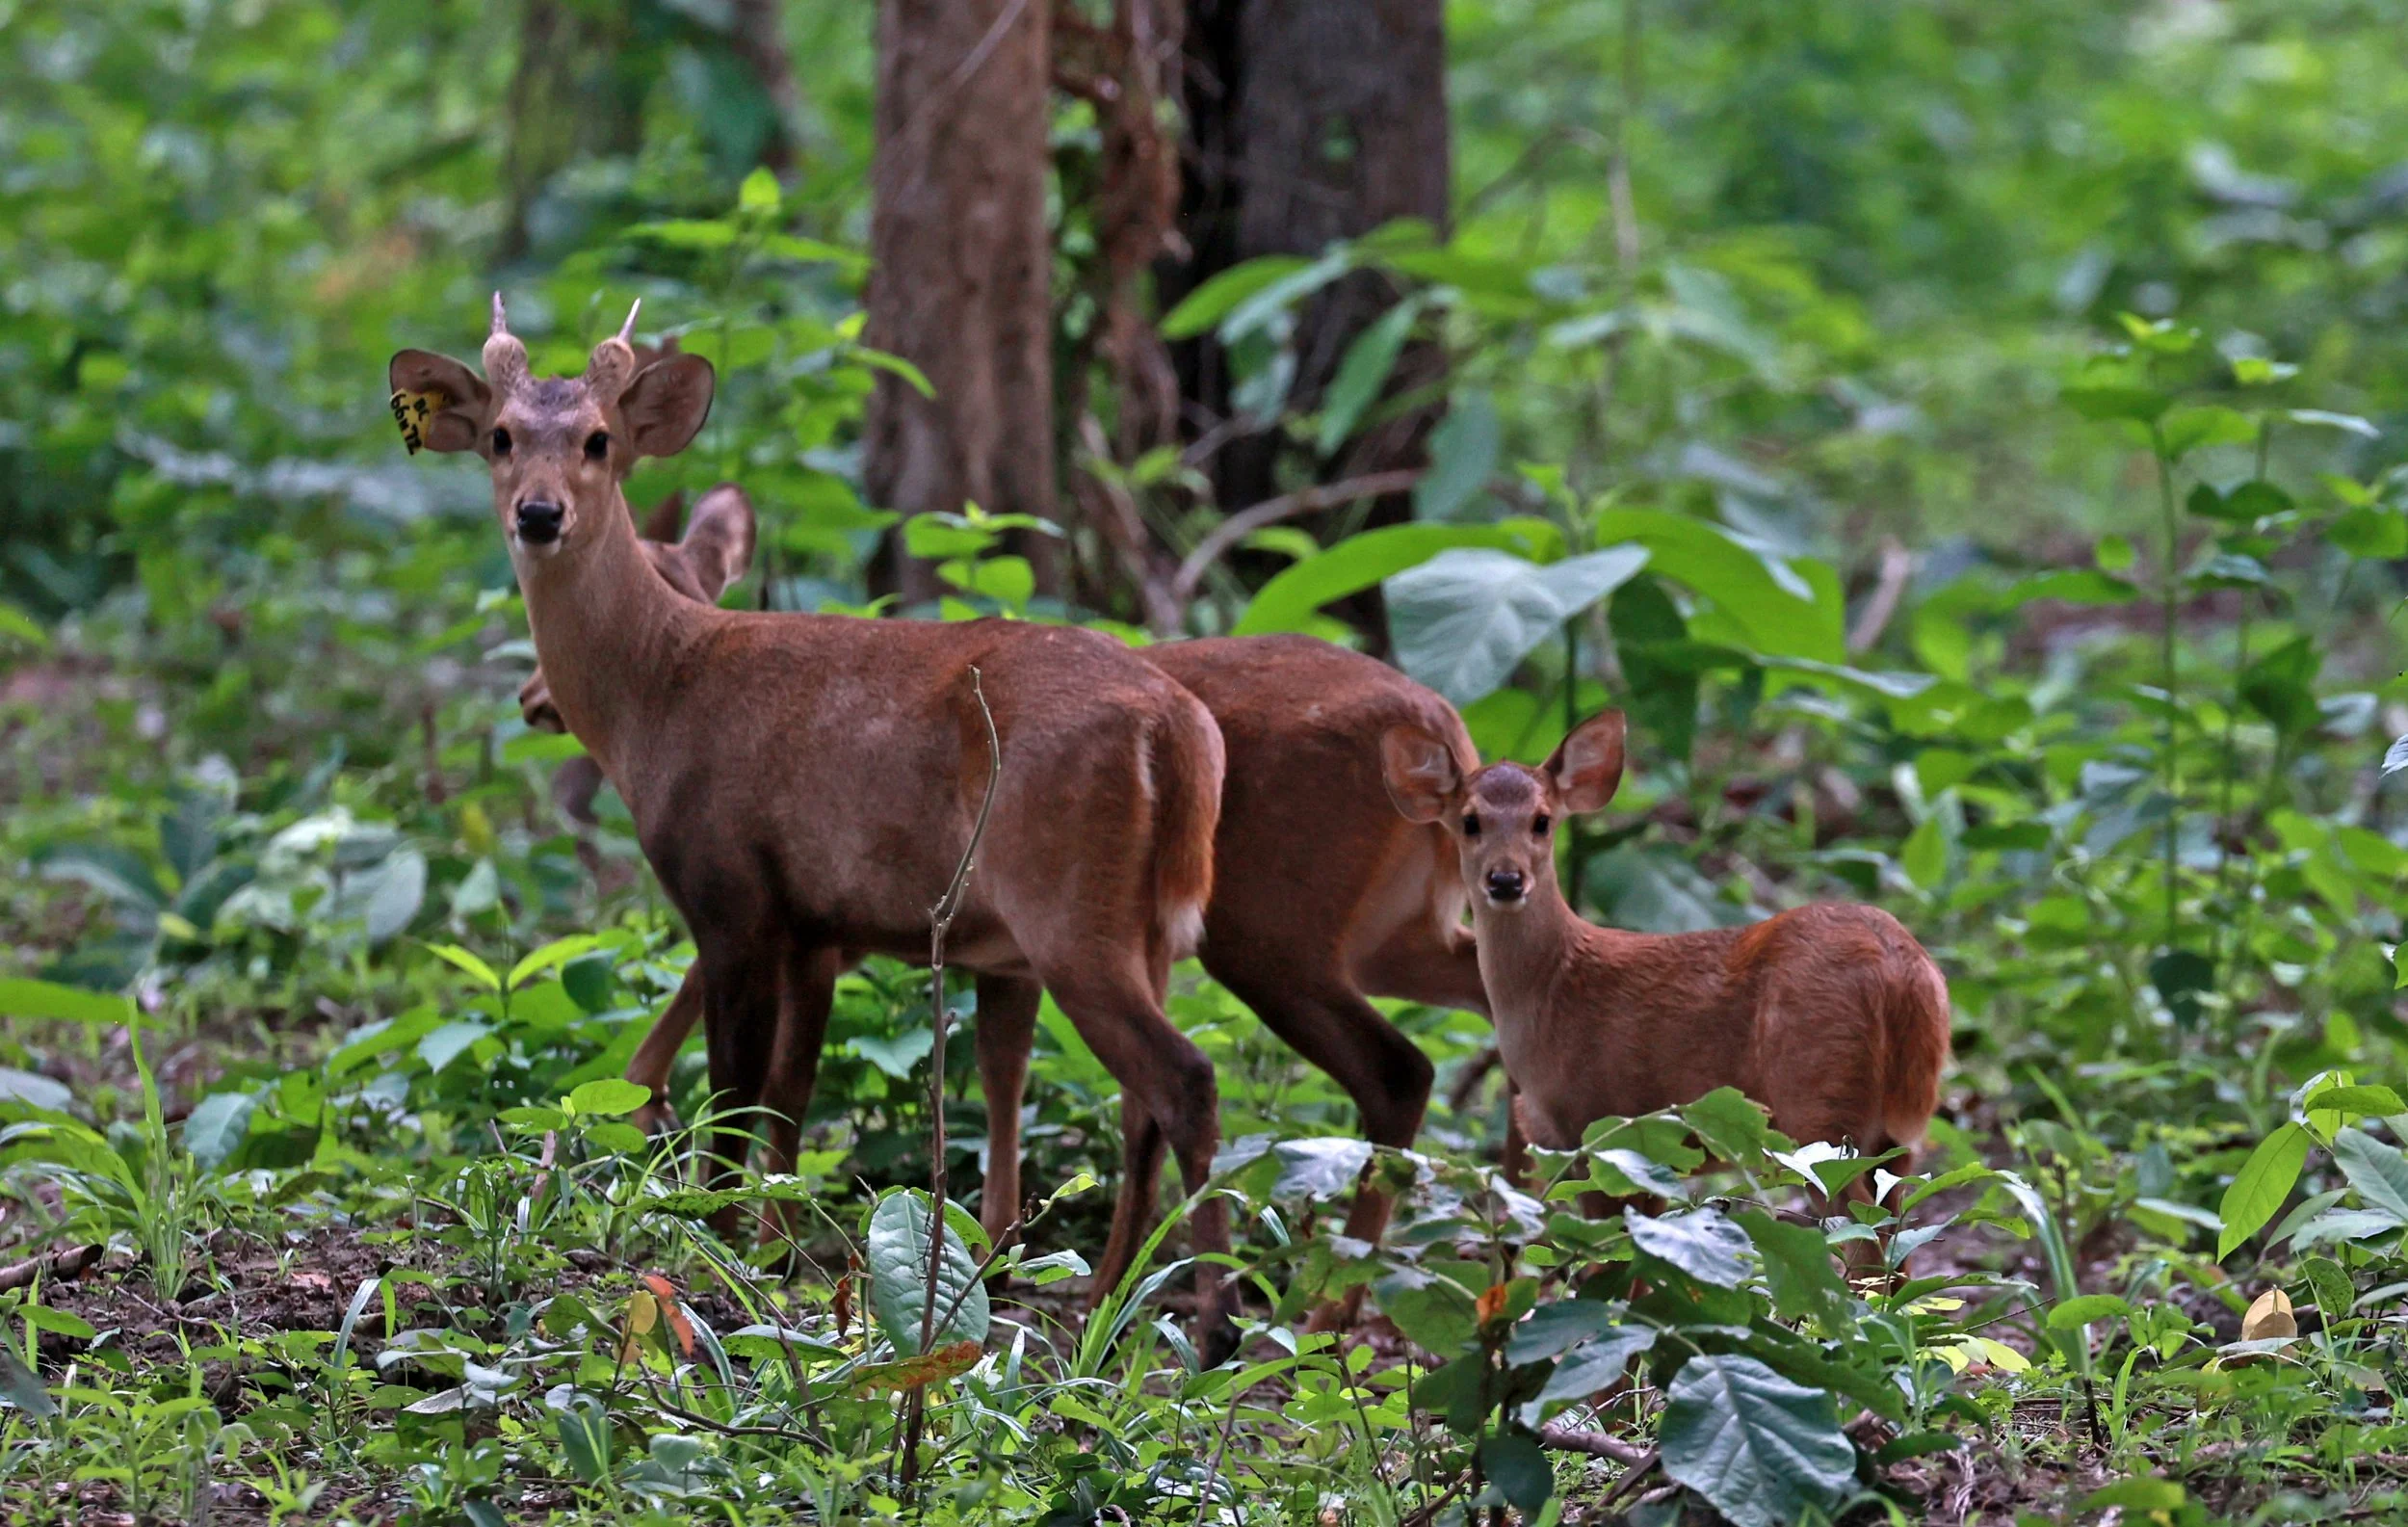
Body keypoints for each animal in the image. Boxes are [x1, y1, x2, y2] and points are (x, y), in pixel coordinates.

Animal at [392, 296, 1239, 1354]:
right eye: (502, 437)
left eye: (597, 440)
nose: (538, 514)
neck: (659, 689)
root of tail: (1180, 731)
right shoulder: (813, 924)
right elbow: (788, 1102)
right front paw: (773, 1258)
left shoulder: (731, 893)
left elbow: (731, 1096)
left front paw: (706, 1248)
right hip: (1143, 924)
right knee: (1140, 1101)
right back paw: (1119, 1297)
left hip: (1069, 907)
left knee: (1184, 1078)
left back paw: (1199, 1319)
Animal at [518, 492, 1493, 1322]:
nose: (533, 697)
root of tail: (1444, 728)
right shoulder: (907, 941)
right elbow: (962, 1078)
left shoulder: (785, 915)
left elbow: (749, 1069)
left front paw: (706, 1208)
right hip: (1372, 926)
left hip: (1253, 927)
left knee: (1345, 1069)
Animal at [1378, 709, 1952, 1213]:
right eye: (1470, 822)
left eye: (1542, 822)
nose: (1505, 880)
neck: (1552, 990)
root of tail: (1899, 969)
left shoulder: (1602, 1127)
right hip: (1900, 1121)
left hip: (1818, 1100)